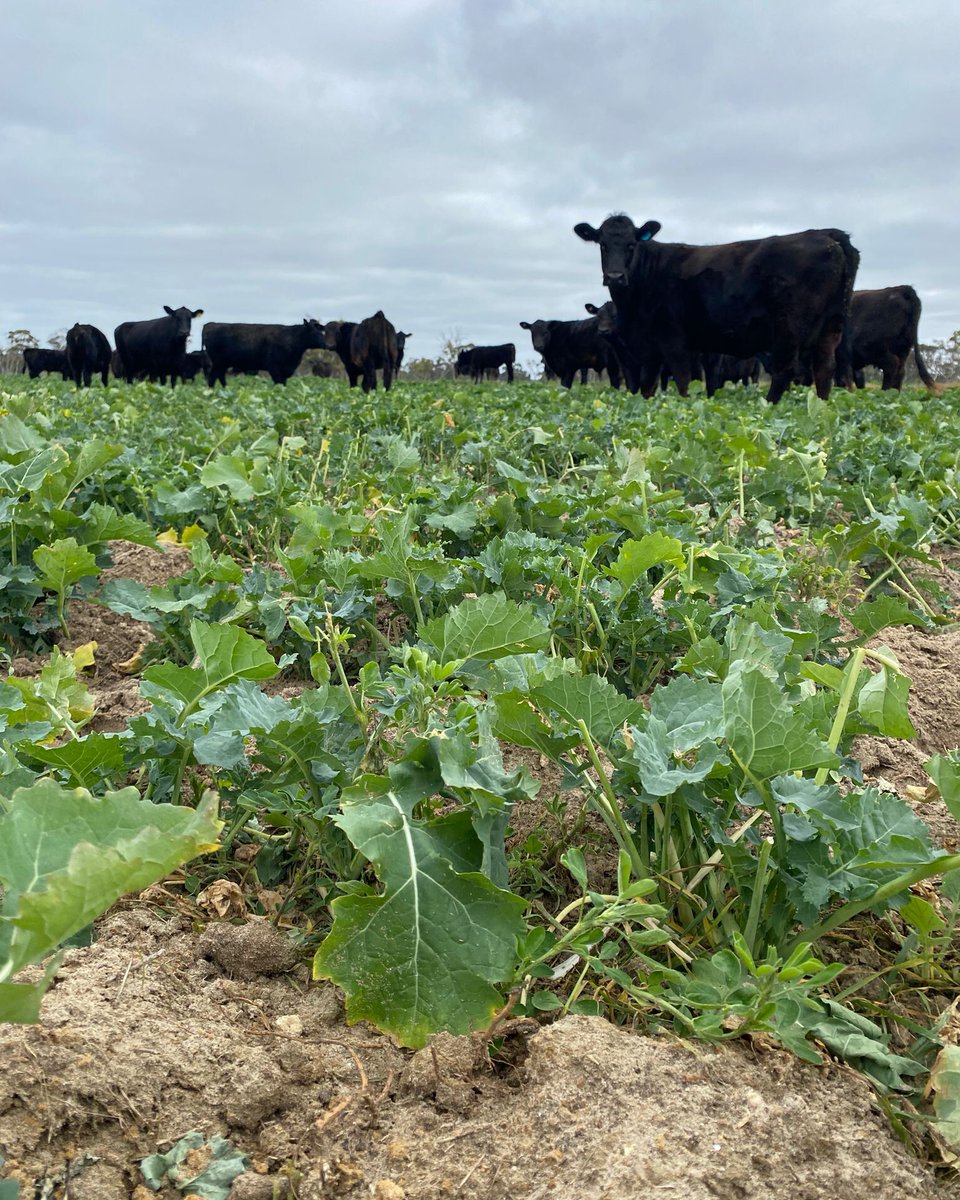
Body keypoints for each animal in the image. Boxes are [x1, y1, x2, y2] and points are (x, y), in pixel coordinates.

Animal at [573, 215, 859, 404]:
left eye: (632, 244)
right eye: (602, 244)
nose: (615, 276)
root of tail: (827, 234)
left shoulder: (673, 339)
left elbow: (683, 379)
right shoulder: (651, 348)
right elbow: (648, 386)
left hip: (788, 327)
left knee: (786, 369)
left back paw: (770, 406)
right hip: (832, 325)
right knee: (825, 368)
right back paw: (821, 406)